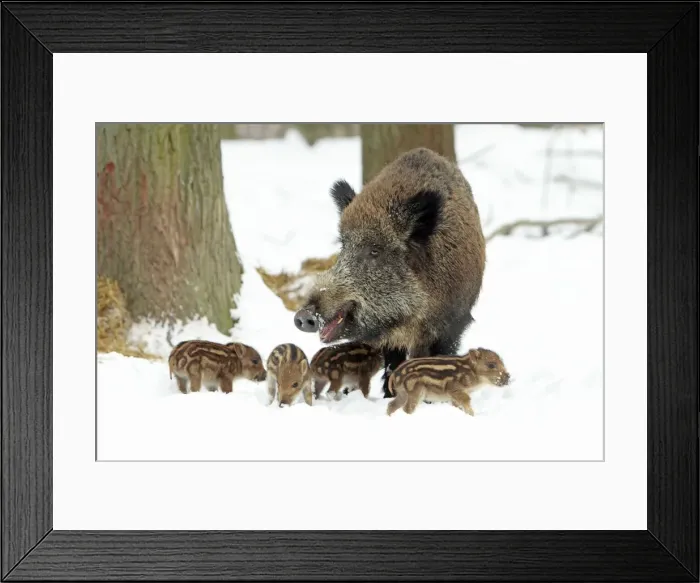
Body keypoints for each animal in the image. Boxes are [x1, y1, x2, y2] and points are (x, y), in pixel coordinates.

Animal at [294, 147, 486, 397]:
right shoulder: (389, 338)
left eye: (375, 250)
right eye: (343, 245)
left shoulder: (453, 323)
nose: (302, 316)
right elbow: (393, 363)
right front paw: (389, 395)